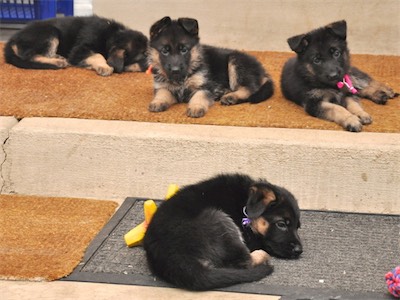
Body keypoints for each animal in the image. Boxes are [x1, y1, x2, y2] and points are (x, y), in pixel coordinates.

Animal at [4, 15, 148, 76]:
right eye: (144, 56)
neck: (111, 36)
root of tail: (12, 40)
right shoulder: (79, 50)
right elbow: (97, 55)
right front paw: (105, 67)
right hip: (50, 32)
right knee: (29, 55)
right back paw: (57, 62)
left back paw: (57, 57)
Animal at [142, 173, 302, 290]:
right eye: (281, 224)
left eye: (297, 226)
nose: (299, 251)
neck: (244, 204)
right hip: (220, 220)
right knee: (244, 262)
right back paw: (261, 256)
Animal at [148, 16, 276, 117]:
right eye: (165, 51)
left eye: (184, 50)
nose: (175, 70)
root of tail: (262, 71)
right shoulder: (163, 86)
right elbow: (162, 93)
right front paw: (157, 102)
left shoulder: (205, 86)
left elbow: (199, 96)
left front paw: (196, 106)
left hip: (236, 62)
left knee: (250, 88)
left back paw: (231, 97)